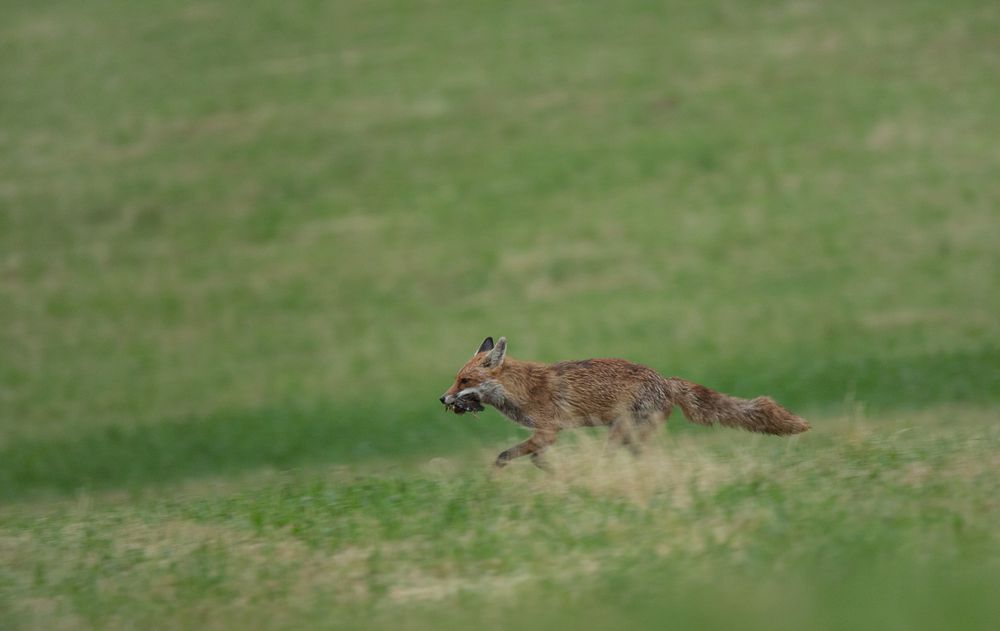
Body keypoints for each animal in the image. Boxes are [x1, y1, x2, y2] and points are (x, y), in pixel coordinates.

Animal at [442, 338, 808, 472]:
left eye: (464, 381)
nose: (442, 399)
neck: (522, 389)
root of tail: (665, 380)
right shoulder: (546, 437)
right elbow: (536, 460)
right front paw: (557, 477)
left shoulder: (548, 431)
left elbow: (505, 455)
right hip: (630, 437)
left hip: (620, 432)